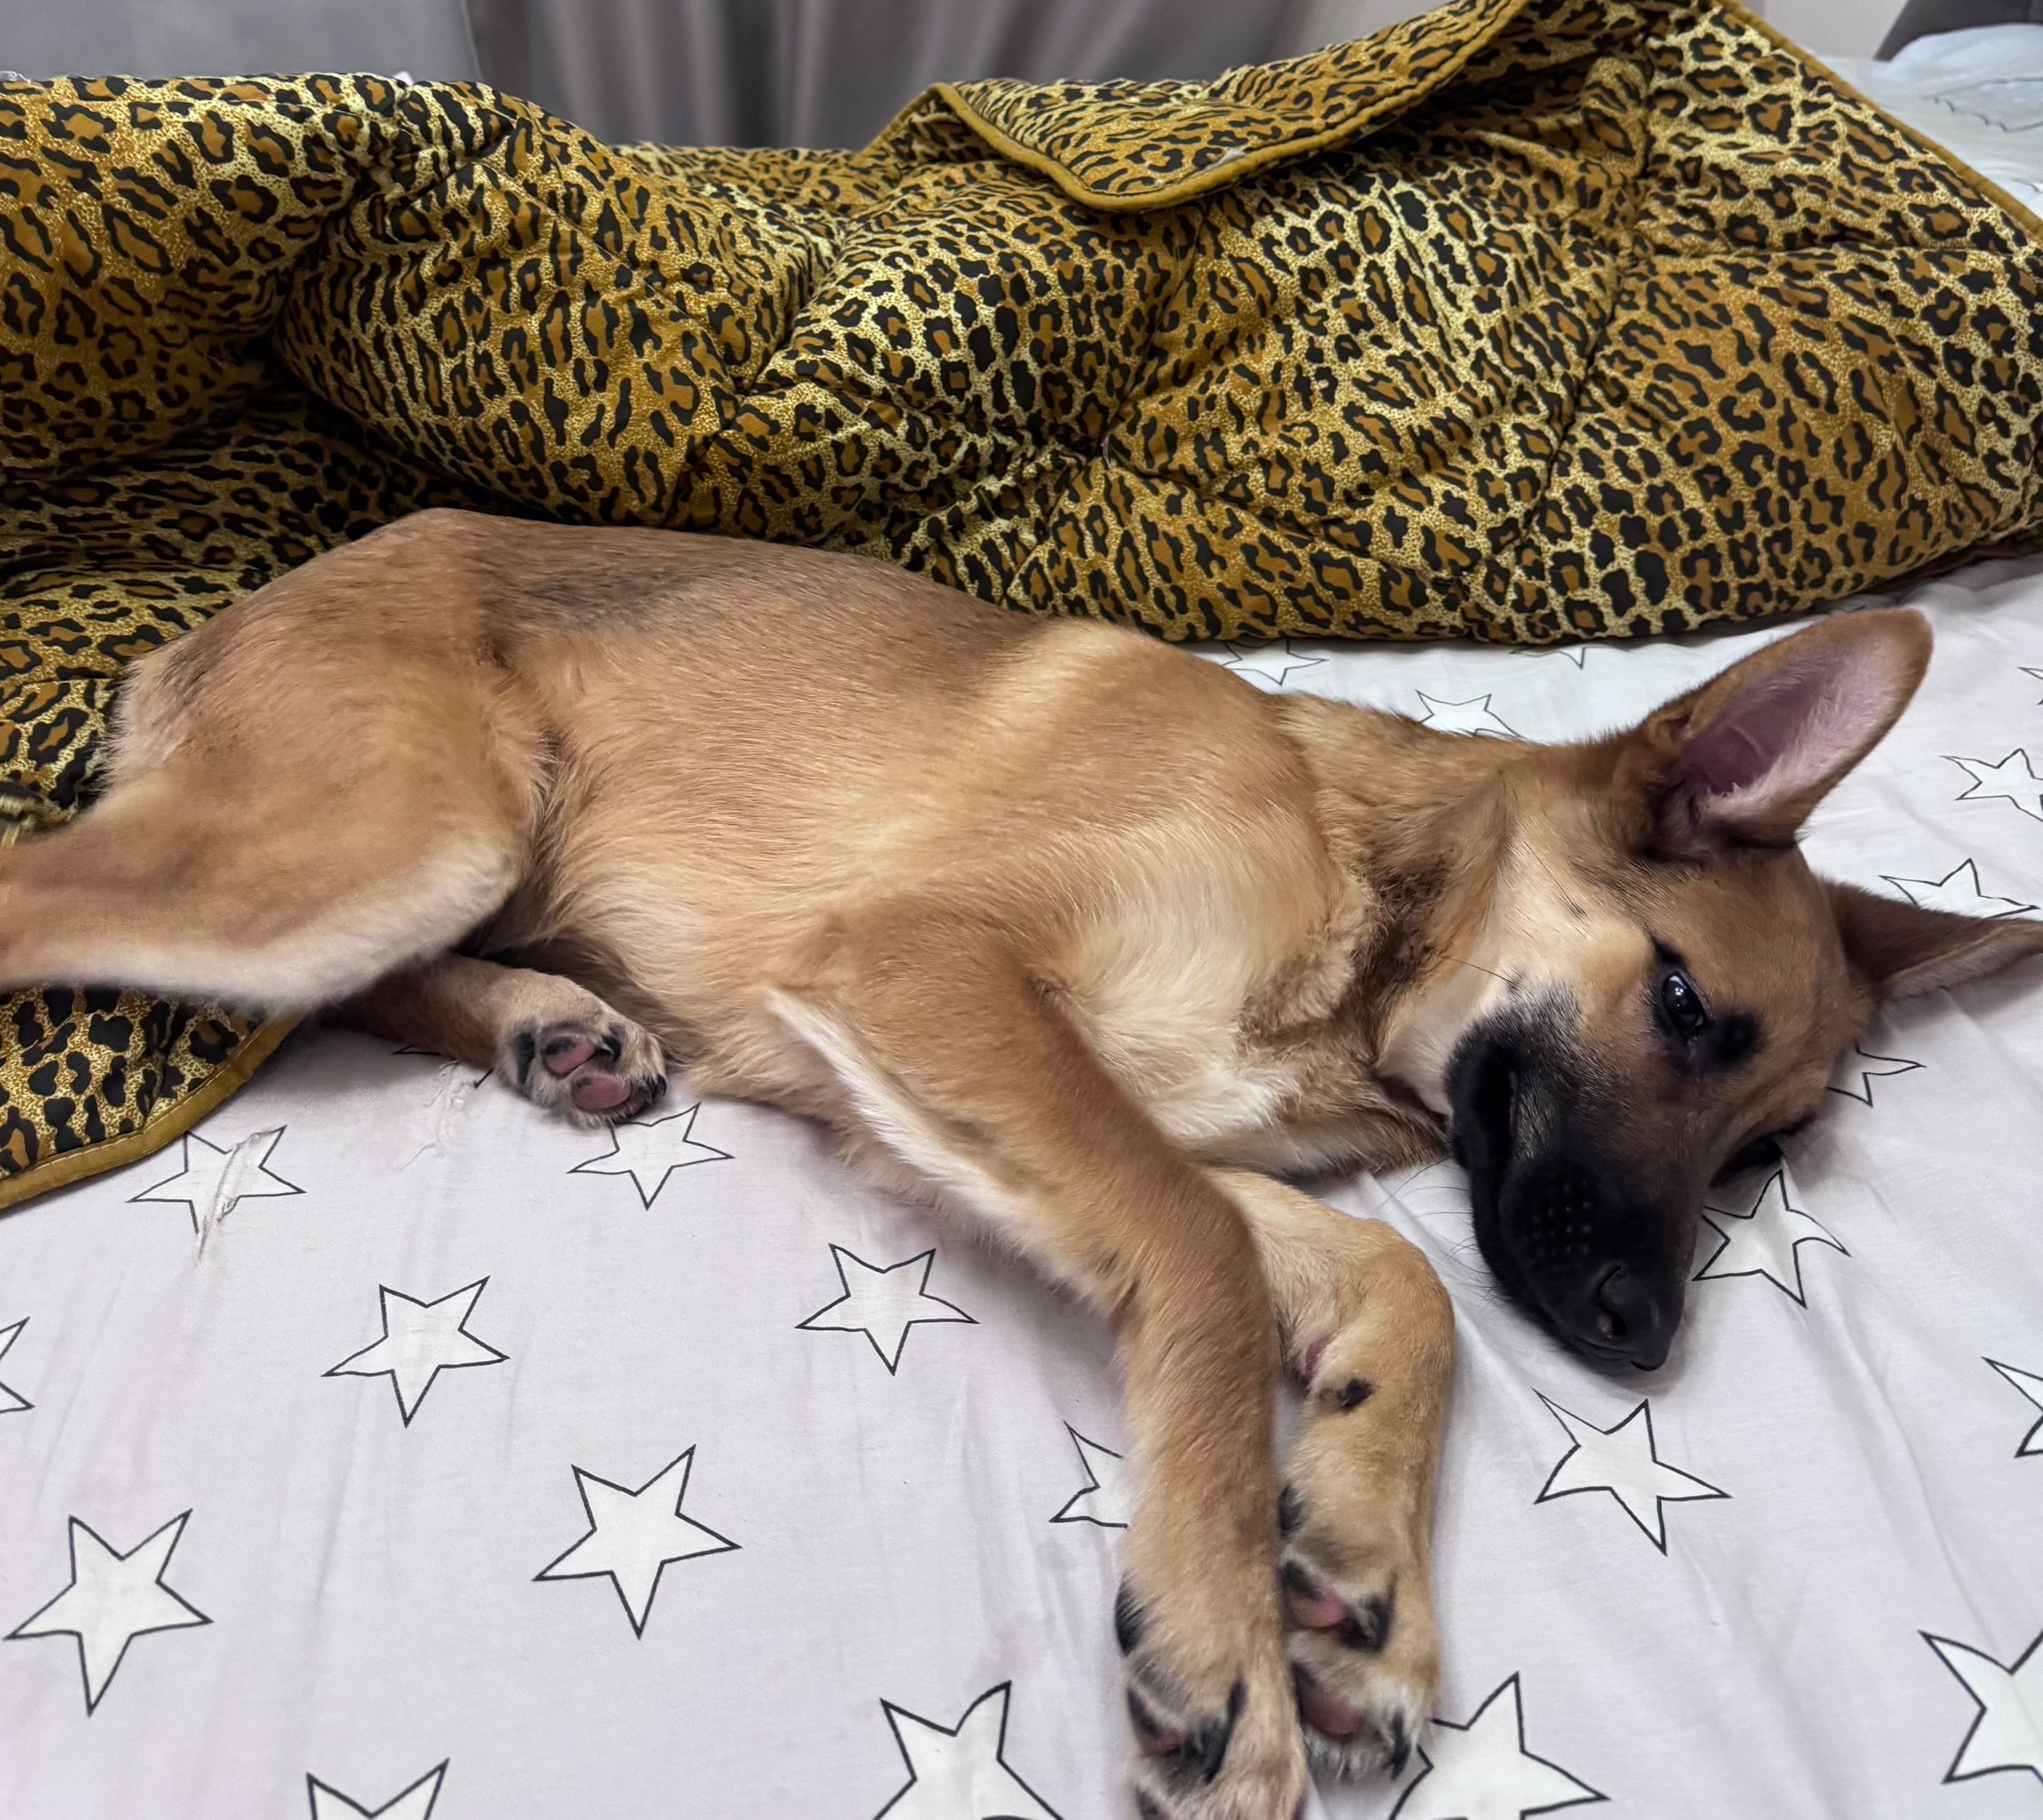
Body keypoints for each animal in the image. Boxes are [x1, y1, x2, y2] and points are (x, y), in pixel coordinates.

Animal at [7, 509, 2038, 1820]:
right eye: (1679, 1003)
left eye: (1764, 1153)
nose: (1635, 1334)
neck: (1362, 884)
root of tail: (236, 608)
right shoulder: (932, 969)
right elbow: (1211, 1276)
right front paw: (1225, 1632)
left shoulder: (1078, 1111)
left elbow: (1386, 1280)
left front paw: (1357, 1559)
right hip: (397, 833)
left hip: (422, 868)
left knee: (347, 994)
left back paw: (546, 1022)